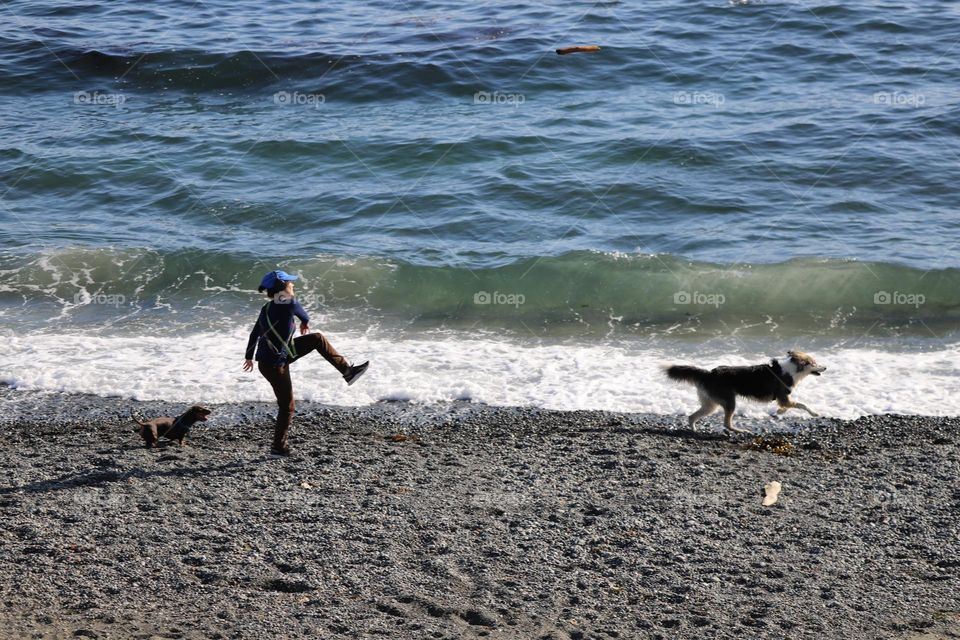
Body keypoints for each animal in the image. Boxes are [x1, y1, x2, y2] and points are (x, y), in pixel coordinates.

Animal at [668, 350, 824, 436]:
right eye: (814, 363)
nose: (825, 368)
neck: (791, 370)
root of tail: (709, 374)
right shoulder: (784, 396)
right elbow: (802, 405)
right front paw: (814, 413)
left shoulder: (783, 399)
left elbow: (787, 406)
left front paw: (780, 412)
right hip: (729, 401)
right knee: (727, 424)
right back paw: (742, 431)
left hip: (710, 404)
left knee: (692, 416)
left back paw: (694, 429)